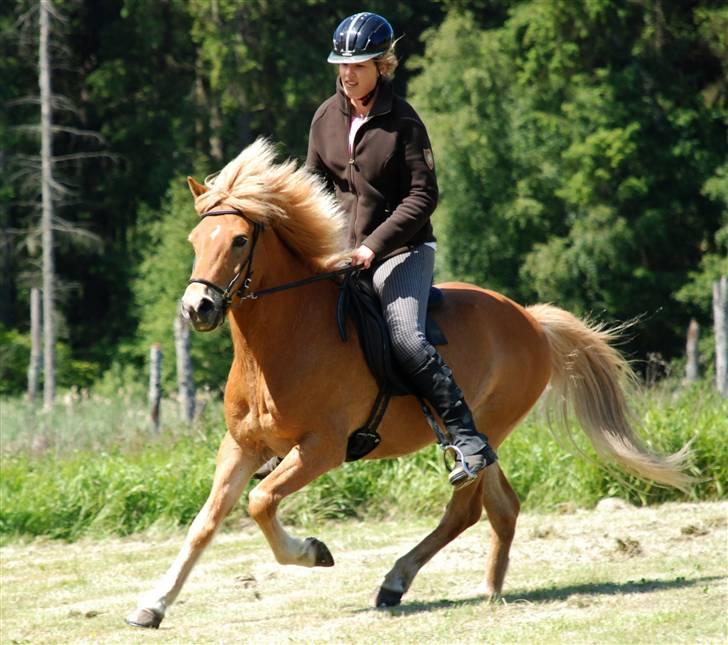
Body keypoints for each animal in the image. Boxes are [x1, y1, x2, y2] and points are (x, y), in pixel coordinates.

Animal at [126, 138, 692, 628]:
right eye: (195, 241)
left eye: (240, 239)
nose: (197, 308)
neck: (281, 342)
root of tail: (529, 319)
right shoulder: (241, 446)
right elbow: (206, 522)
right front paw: (152, 605)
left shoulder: (321, 449)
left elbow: (260, 502)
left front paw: (313, 552)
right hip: (486, 437)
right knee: (502, 507)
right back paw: (488, 587)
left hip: (483, 428)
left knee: (466, 509)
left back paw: (398, 581)